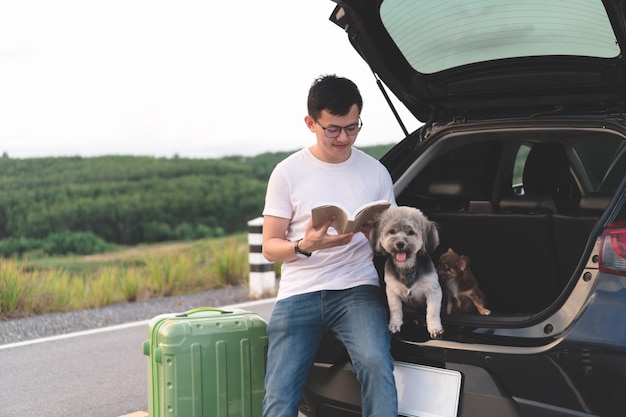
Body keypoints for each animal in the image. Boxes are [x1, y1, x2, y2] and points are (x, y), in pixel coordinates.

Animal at [370, 206, 444, 336]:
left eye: (411, 232)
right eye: (392, 231)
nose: (400, 243)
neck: (406, 265)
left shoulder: (433, 290)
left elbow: (432, 311)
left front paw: (434, 327)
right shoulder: (392, 291)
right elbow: (395, 309)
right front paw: (395, 324)